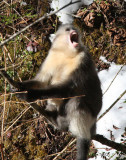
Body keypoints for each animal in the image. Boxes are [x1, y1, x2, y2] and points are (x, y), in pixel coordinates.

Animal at [0, 24, 102, 160]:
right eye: (68, 29)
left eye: (74, 28)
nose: (74, 30)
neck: (66, 54)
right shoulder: (51, 58)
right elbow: (41, 81)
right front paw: (19, 86)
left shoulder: (82, 60)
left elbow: (67, 88)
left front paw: (29, 95)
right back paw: (53, 117)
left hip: (89, 116)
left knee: (77, 101)